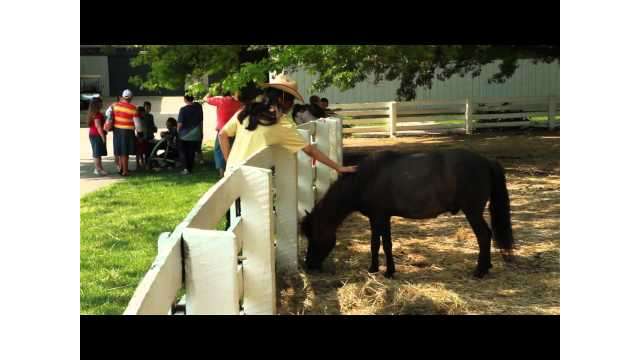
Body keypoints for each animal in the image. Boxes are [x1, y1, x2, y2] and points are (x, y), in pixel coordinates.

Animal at [302, 149, 516, 278]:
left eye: (314, 235)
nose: (309, 265)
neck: (364, 179)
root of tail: (485, 161)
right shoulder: (383, 217)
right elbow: (384, 244)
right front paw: (386, 270)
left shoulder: (377, 217)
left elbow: (377, 244)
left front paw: (377, 270)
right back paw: (486, 267)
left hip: (472, 212)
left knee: (484, 236)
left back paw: (480, 270)